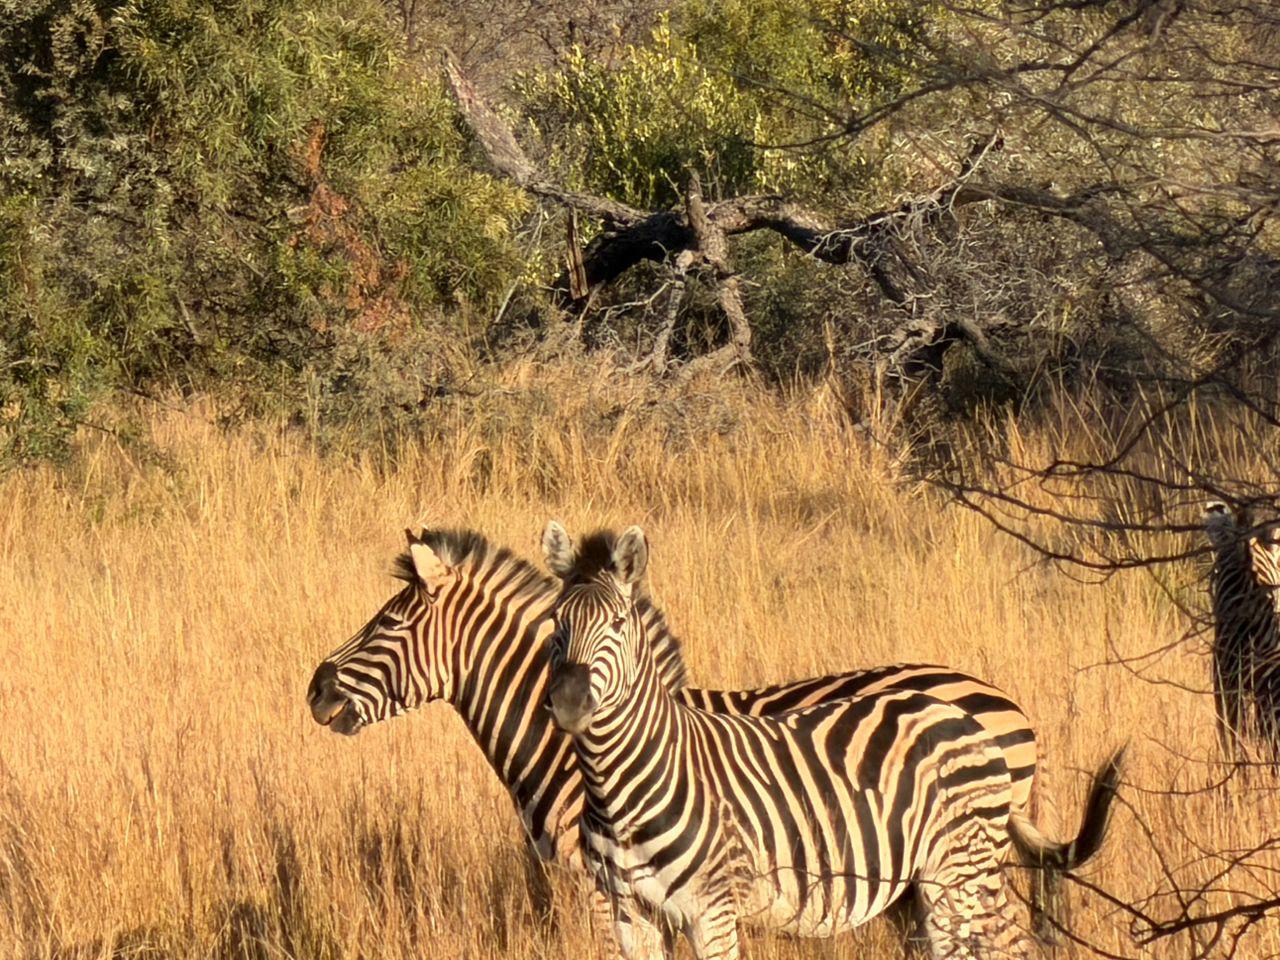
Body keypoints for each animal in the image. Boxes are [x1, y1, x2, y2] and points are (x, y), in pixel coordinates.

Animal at [543, 522, 1124, 960]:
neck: (619, 792)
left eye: (619, 623)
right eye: (556, 623)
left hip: (962, 873)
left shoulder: (713, 910)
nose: (569, 702)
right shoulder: (630, 914)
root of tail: (967, 717)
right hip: (929, 886)